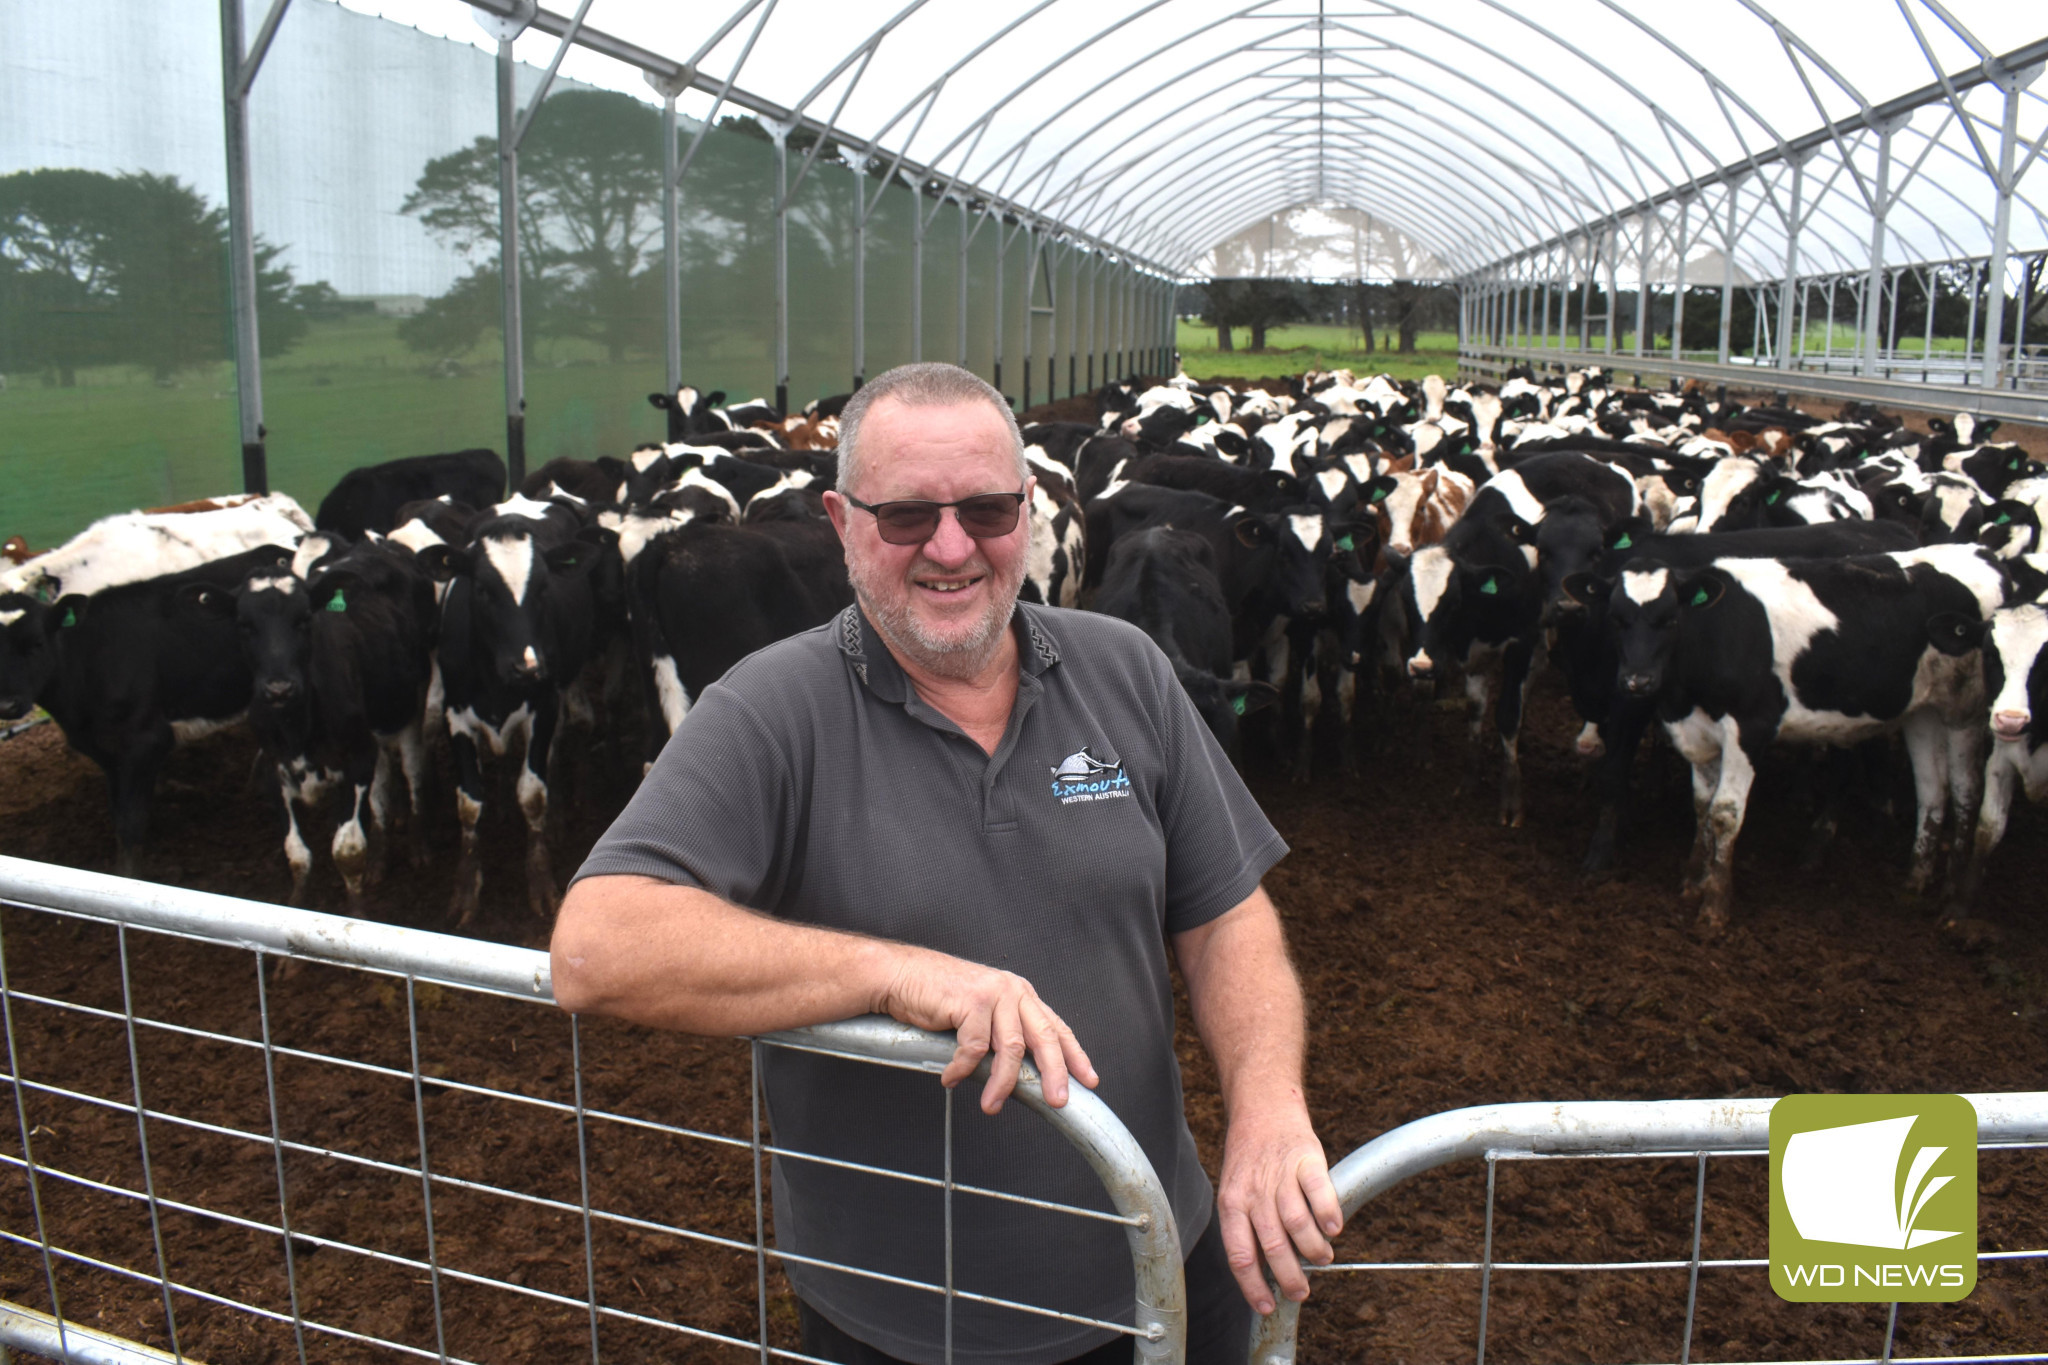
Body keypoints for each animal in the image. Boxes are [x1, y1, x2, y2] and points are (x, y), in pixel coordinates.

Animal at [0, 544, 296, 875]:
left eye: (37, 643)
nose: (7, 704)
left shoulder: (146, 741)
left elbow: (130, 825)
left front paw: (128, 876)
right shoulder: (106, 751)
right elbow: (120, 815)